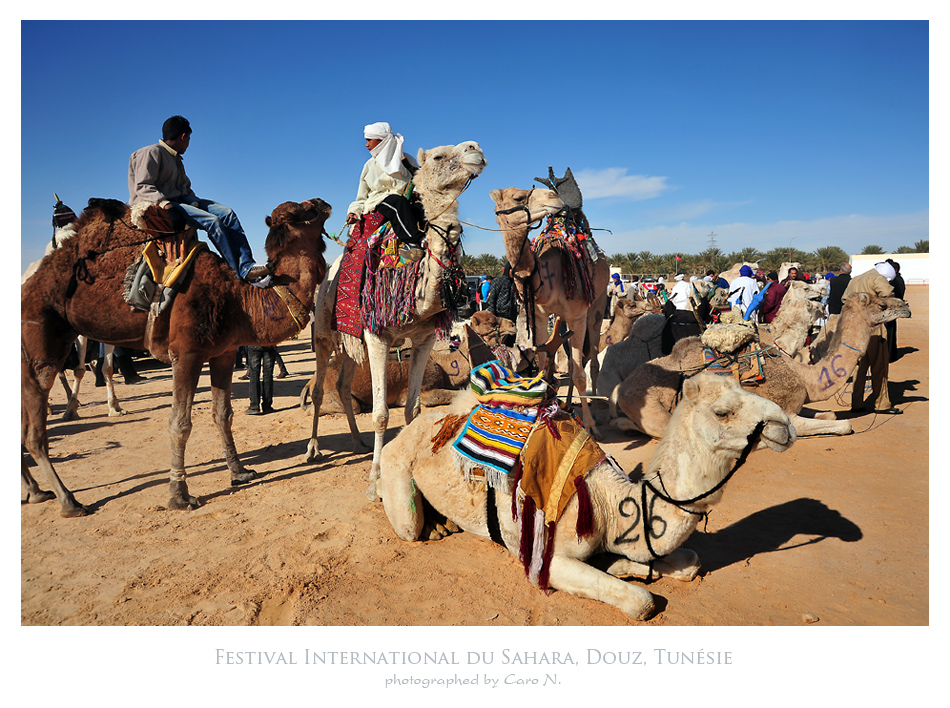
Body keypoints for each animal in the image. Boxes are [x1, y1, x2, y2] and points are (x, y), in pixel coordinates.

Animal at [22, 196, 330, 516]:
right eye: (305, 211)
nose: (324, 202)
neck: (239, 301)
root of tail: (28, 278)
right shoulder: (187, 354)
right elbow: (180, 424)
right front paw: (179, 495)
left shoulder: (224, 352)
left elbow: (223, 414)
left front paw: (240, 472)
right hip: (39, 337)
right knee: (35, 429)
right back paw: (68, 500)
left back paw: (37, 491)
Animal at [306, 141, 488, 500]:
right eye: (439, 156)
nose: (476, 148)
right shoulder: (379, 337)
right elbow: (380, 415)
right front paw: (374, 483)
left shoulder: (423, 339)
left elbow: (413, 410)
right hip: (322, 334)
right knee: (319, 389)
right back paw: (313, 448)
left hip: (354, 343)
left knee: (344, 385)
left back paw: (358, 442)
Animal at [380, 374, 796, 624]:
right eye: (723, 412)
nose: (785, 425)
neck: (609, 505)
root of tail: (422, 423)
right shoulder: (546, 559)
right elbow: (642, 602)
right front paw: (624, 571)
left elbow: (691, 563)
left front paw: (623, 564)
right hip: (396, 464)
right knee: (407, 523)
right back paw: (433, 527)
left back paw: (443, 525)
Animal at [490, 183, 608, 436]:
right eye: (518, 197)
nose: (555, 197)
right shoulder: (540, 317)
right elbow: (545, 366)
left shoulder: (578, 315)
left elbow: (579, 374)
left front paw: (590, 425)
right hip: (562, 318)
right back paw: (571, 403)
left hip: (598, 304)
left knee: (591, 361)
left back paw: (596, 408)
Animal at [612, 288, 912, 436]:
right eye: (882, 305)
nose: (906, 306)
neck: (805, 377)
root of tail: (620, 389)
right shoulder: (784, 412)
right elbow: (844, 425)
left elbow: (829, 415)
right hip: (655, 411)